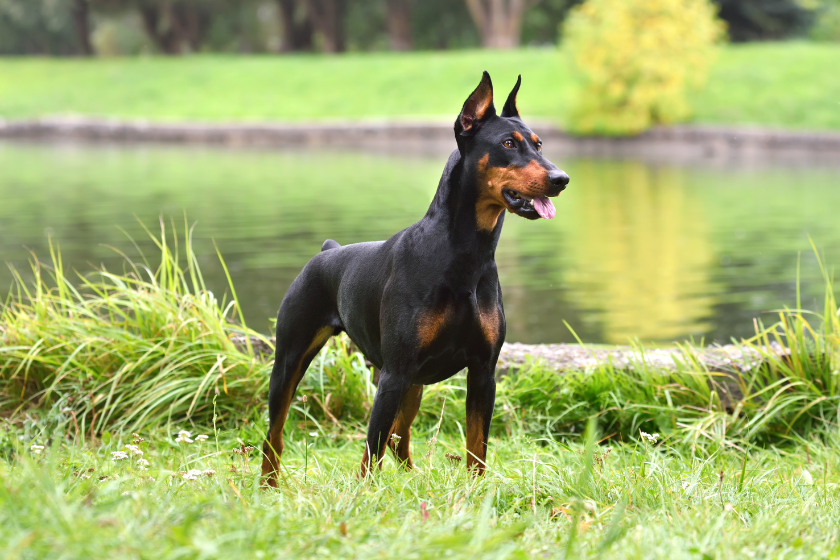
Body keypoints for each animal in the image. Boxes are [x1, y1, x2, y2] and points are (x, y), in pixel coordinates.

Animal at [260, 71, 568, 486]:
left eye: (538, 144)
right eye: (507, 143)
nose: (561, 178)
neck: (465, 256)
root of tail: (326, 251)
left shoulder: (483, 371)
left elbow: (476, 447)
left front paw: (475, 492)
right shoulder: (395, 373)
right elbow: (370, 450)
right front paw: (364, 495)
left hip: (414, 383)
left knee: (399, 436)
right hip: (292, 361)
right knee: (275, 433)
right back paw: (269, 485)